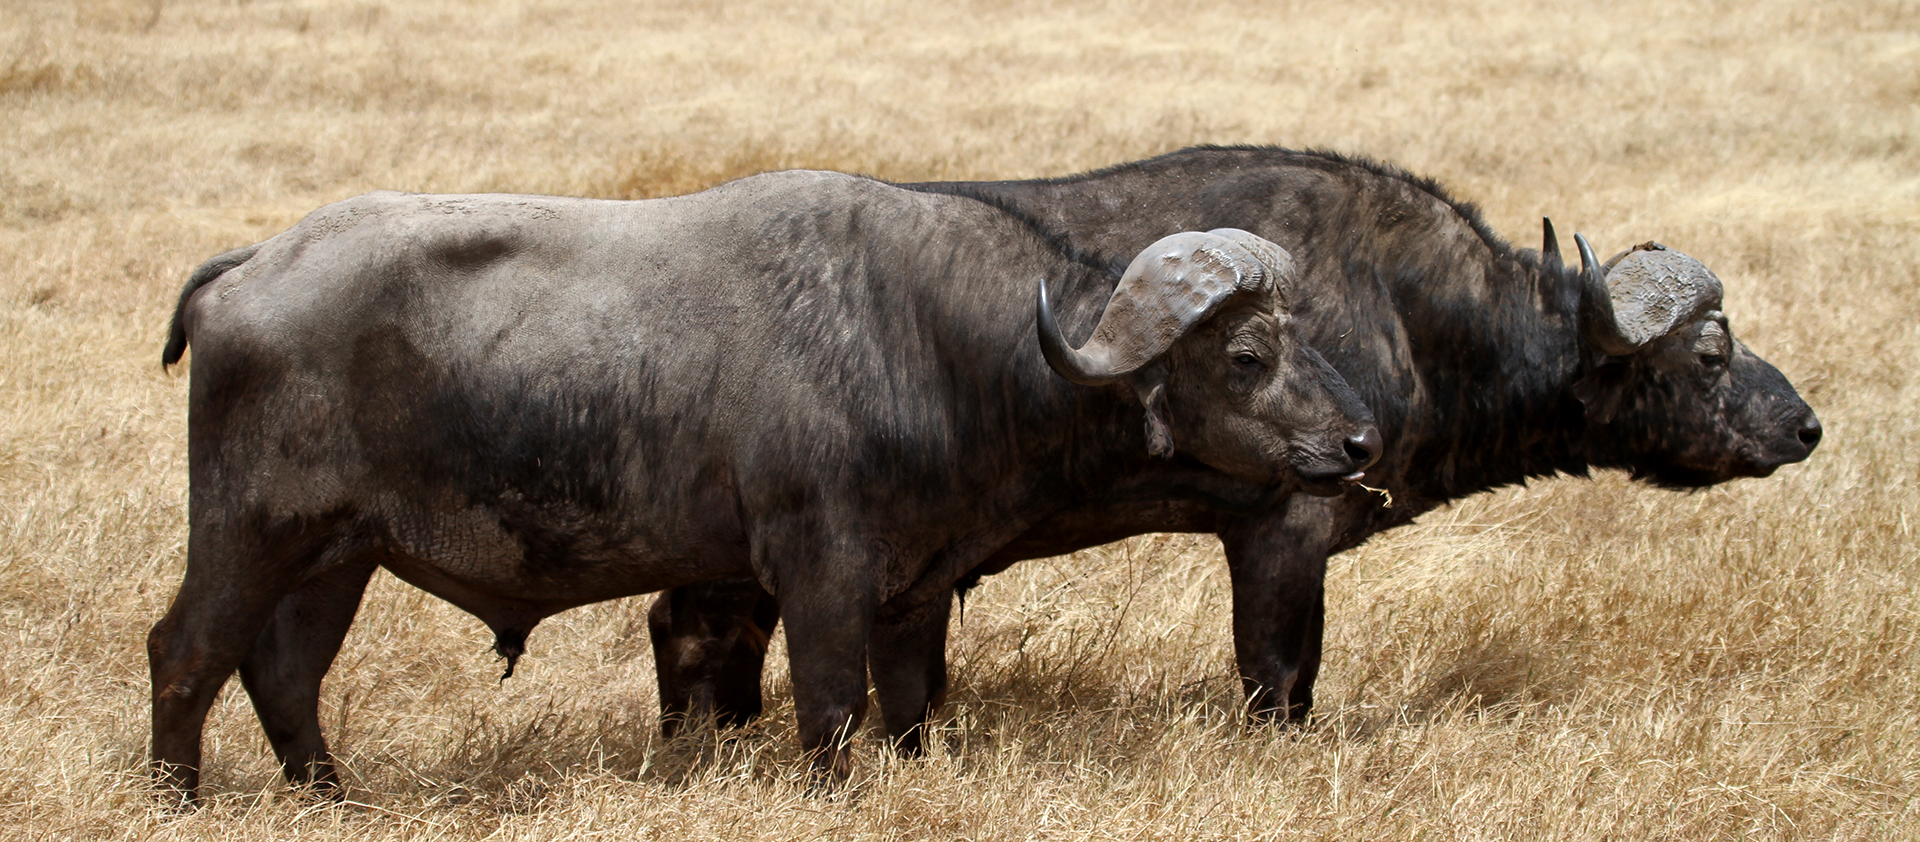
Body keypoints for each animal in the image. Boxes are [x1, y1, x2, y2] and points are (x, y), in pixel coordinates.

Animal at [149, 166, 1382, 805]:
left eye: (1302, 335)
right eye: (1246, 355)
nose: (1363, 441)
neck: (930, 343)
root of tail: (252, 265)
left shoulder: (911, 591)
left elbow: (910, 707)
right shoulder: (819, 573)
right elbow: (830, 711)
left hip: (335, 555)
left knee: (284, 670)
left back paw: (327, 792)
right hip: (249, 530)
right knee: (189, 651)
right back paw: (179, 797)